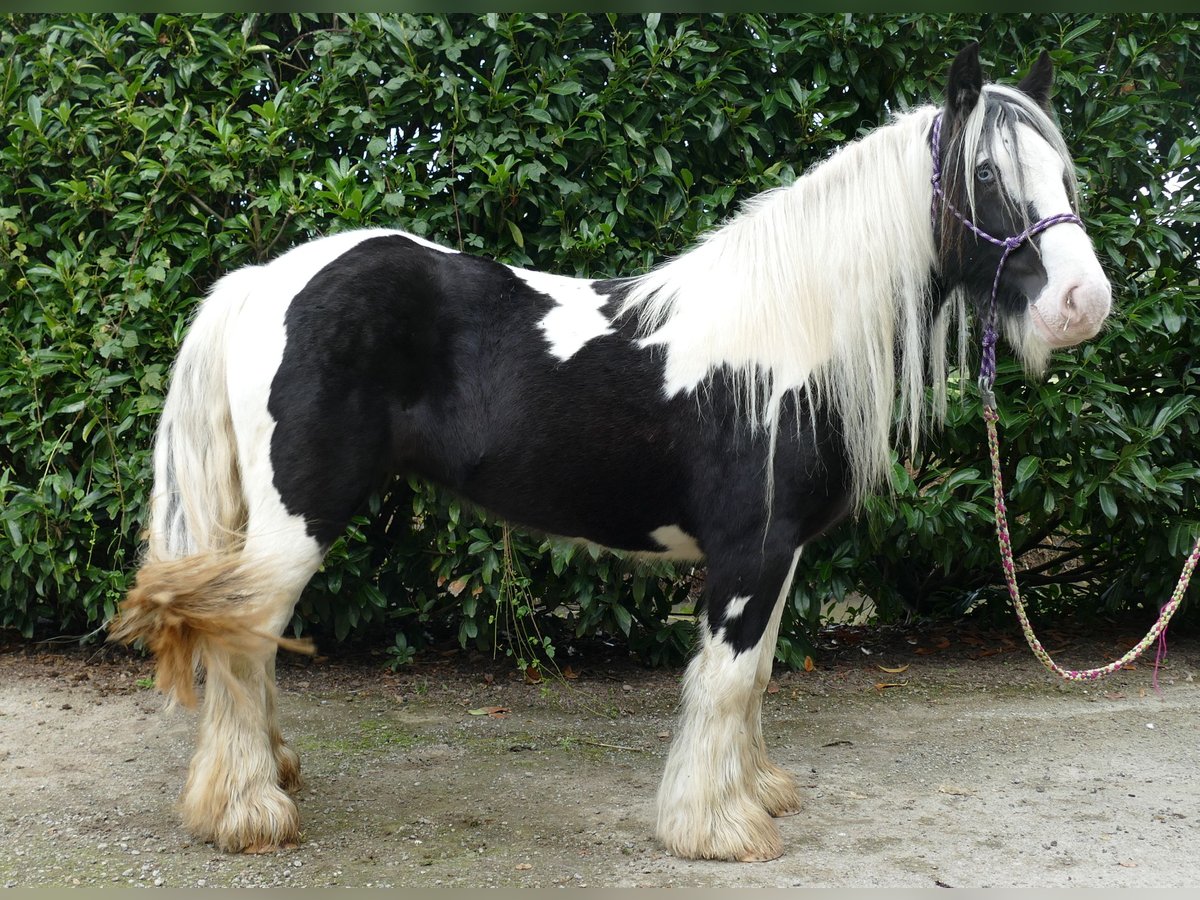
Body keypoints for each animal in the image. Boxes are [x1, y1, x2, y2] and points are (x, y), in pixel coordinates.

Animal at [108, 44, 1108, 868]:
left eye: (1064, 171)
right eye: (987, 171)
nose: (1083, 302)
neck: (791, 337)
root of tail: (260, 283)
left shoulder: (780, 554)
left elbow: (756, 676)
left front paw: (757, 794)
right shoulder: (750, 552)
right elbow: (726, 678)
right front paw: (716, 827)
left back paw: (270, 775)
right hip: (300, 517)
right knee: (240, 639)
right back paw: (247, 812)